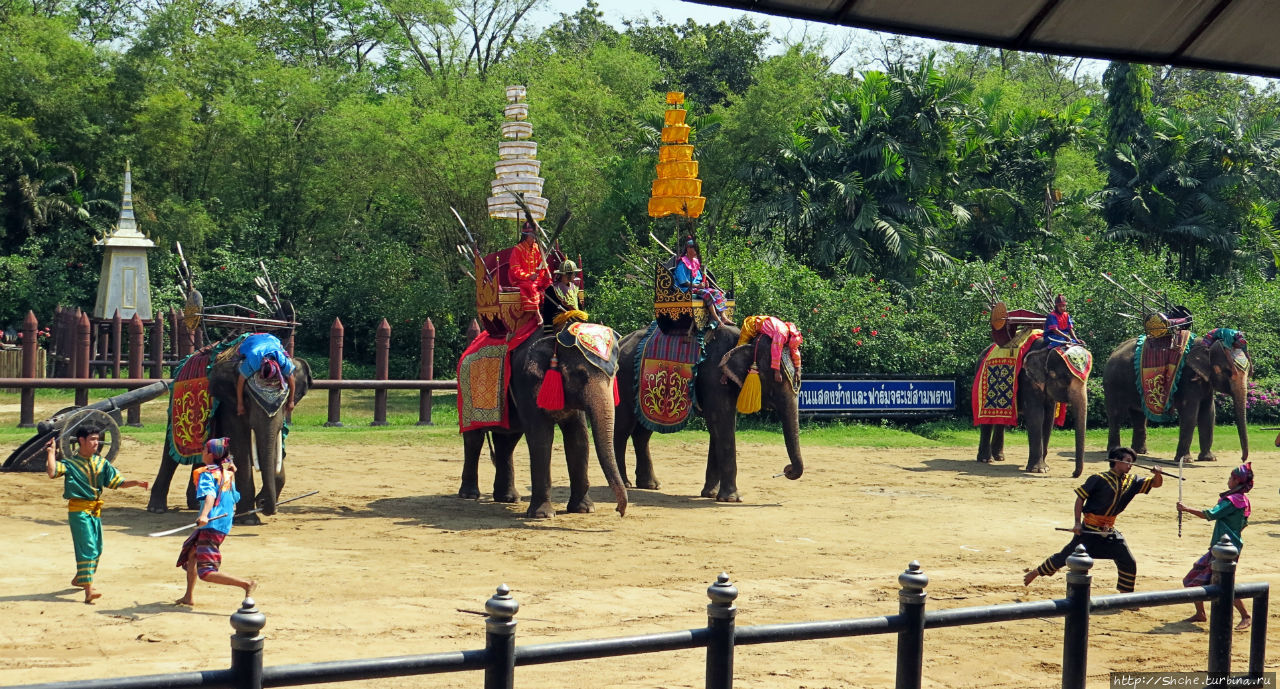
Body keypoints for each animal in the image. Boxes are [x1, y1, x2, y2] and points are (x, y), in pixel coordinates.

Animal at [145, 350, 312, 522]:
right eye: (246, 398)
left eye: (286, 401)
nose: (263, 502)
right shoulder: (230, 405)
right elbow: (241, 447)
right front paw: (249, 520)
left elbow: (274, 447)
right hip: (176, 412)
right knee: (170, 454)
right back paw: (157, 508)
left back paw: (197, 504)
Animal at [455, 324, 629, 517]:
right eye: (581, 374)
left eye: (615, 372)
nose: (619, 510)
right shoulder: (526, 383)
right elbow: (541, 438)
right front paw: (542, 515)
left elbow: (579, 438)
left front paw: (584, 509)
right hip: (465, 394)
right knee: (474, 439)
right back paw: (469, 495)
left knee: (507, 442)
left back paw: (508, 498)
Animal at [614, 324, 803, 502]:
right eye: (776, 378)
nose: (786, 470)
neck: (743, 339)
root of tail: (622, 341)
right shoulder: (714, 378)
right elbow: (722, 424)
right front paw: (732, 499)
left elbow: (717, 428)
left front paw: (711, 494)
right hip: (623, 379)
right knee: (623, 429)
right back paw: (624, 483)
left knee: (643, 432)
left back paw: (651, 485)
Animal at [977, 345, 1090, 473]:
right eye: (1063, 378)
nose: (1073, 473)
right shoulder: (1026, 379)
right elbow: (1036, 415)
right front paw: (1039, 469)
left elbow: (1049, 418)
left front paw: (1045, 467)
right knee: (987, 420)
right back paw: (986, 459)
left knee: (1001, 420)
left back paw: (999, 457)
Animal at [1100, 330, 1249, 461]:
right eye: (1228, 371)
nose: (1242, 459)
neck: (1206, 345)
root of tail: (1114, 351)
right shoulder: (1187, 380)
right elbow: (1190, 415)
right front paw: (1186, 460)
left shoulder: (1205, 381)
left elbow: (1208, 414)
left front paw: (1209, 459)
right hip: (1112, 382)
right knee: (1115, 414)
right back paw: (1114, 450)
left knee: (1139, 415)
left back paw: (1139, 452)